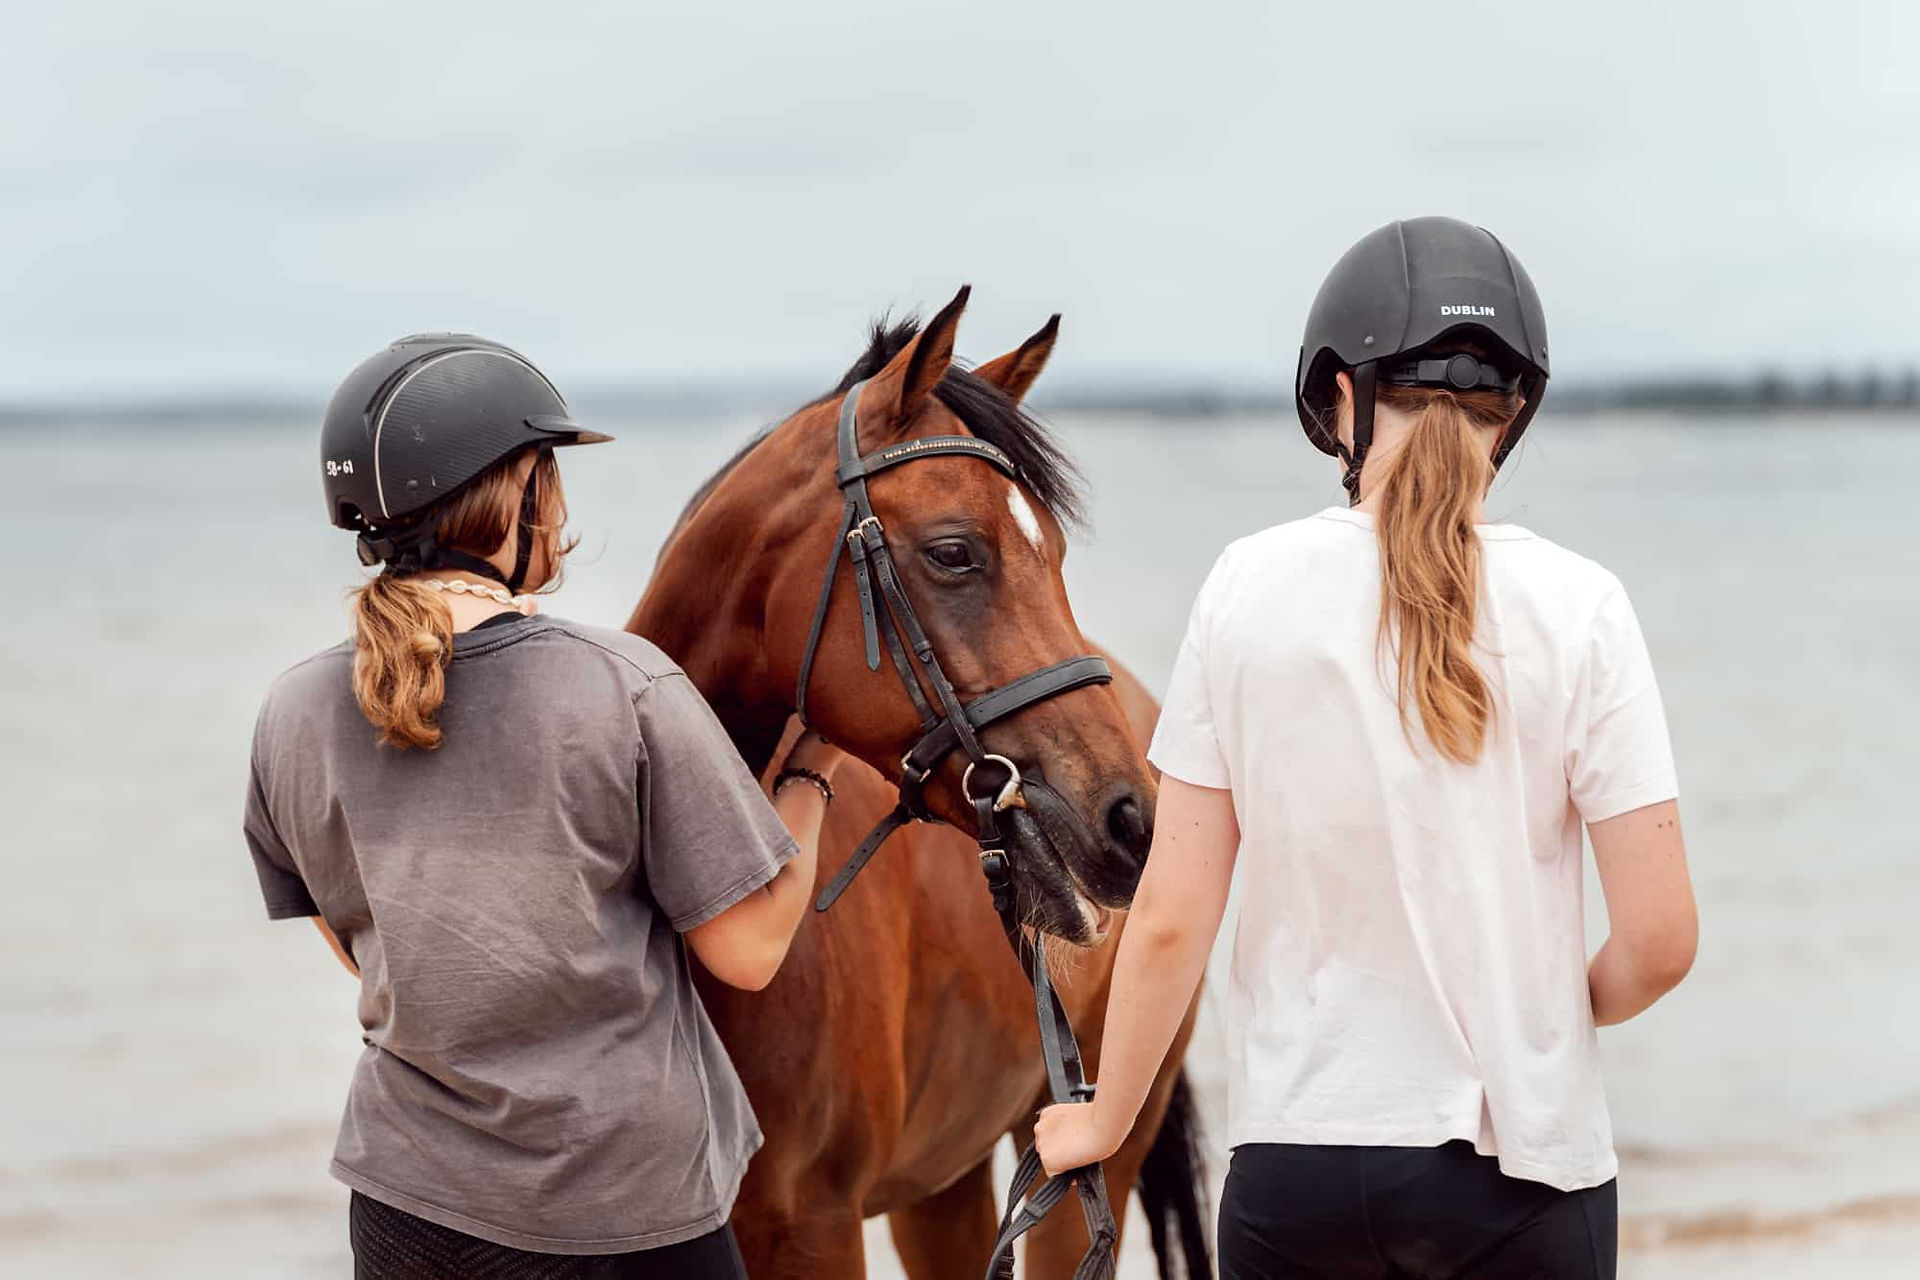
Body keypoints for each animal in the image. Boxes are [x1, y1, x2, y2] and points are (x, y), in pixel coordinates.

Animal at [628, 286, 1210, 1279]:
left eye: (1056, 551)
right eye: (953, 552)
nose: (1136, 822)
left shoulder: (814, 1230)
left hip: (1090, 1152)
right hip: (945, 1183)